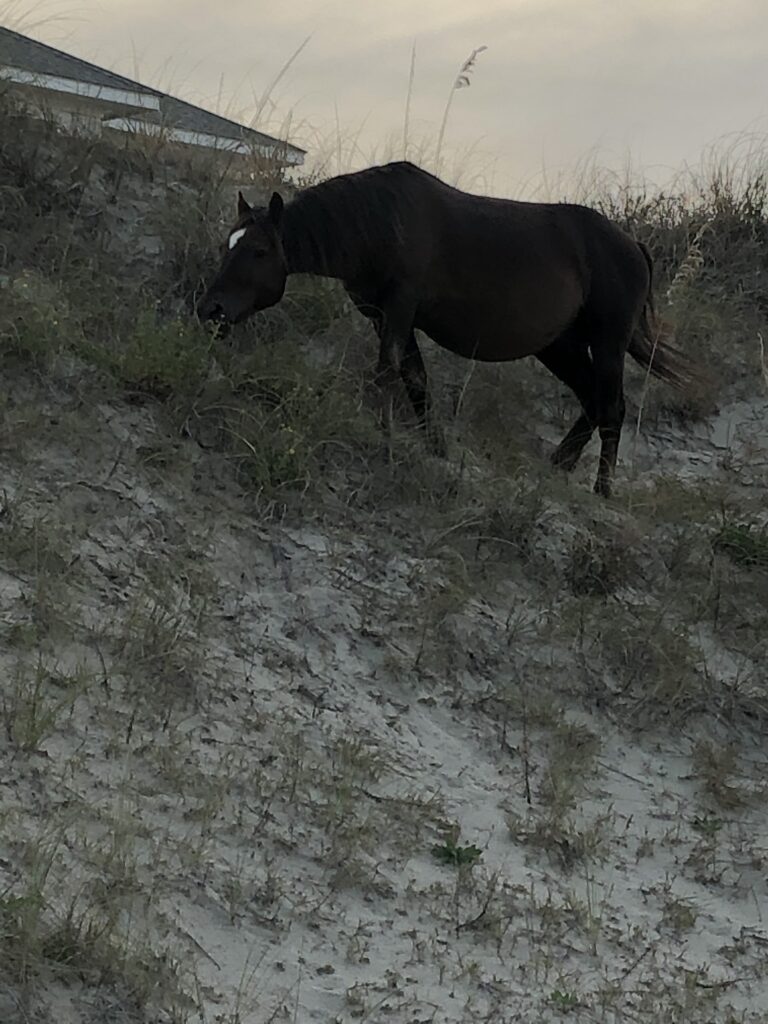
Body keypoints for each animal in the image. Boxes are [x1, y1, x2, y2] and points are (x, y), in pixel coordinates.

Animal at [198, 159, 696, 495]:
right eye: (228, 244)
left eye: (259, 251)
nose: (210, 309)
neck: (382, 224)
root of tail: (633, 244)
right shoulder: (384, 317)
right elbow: (416, 379)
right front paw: (433, 446)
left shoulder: (399, 311)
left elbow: (388, 373)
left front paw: (385, 439)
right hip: (559, 346)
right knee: (591, 400)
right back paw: (559, 464)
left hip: (607, 344)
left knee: (612, 407)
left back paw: (602, 489)